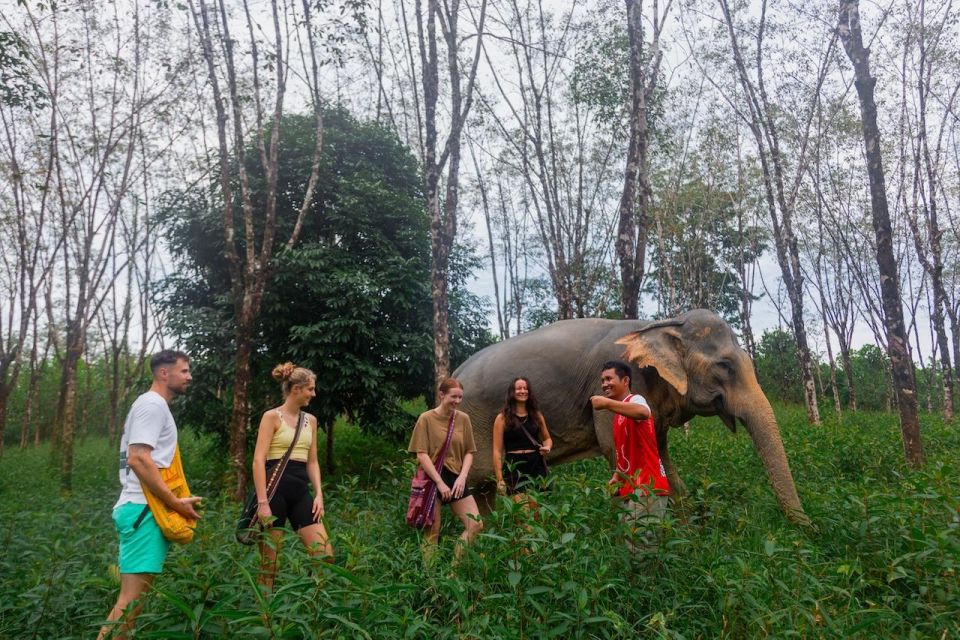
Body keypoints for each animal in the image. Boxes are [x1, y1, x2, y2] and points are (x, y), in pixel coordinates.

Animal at [452, 308, 808, 524]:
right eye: (725, 366)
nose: (808, 532)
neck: (662, 324)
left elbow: (663, 460)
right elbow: (618, 455)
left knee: (482, 493)